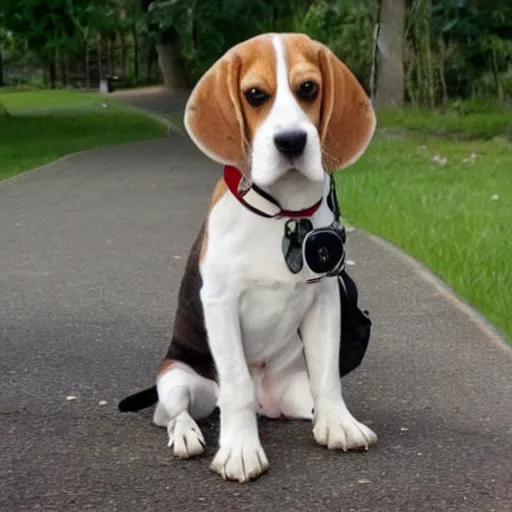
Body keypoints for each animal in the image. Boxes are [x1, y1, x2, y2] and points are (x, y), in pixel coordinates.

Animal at [119, 33, 376, 484]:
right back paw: (186, 434)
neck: (281, 215)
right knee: (173, 413)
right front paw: (240, 450)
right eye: (255, 94)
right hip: (179, 380)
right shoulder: (220, 303)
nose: (291, 141)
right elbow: (236, 383)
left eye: (308, 88)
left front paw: (339, 424)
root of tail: (265, 401)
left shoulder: (324, 300)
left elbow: (328, 375)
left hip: (293, 391)